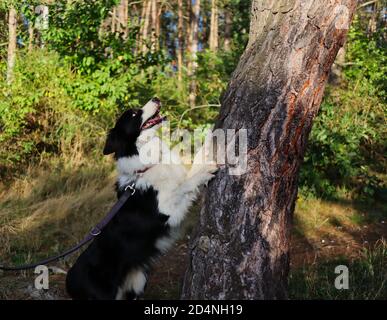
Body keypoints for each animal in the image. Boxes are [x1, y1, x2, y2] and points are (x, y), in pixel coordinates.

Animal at [65, 97, 217, 300]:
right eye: (134, 114)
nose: (156, 98)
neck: (147, 165)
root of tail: (69, 283)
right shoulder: (167, 213)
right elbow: (184, 185)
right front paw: (204, 171)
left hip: (137, 282)